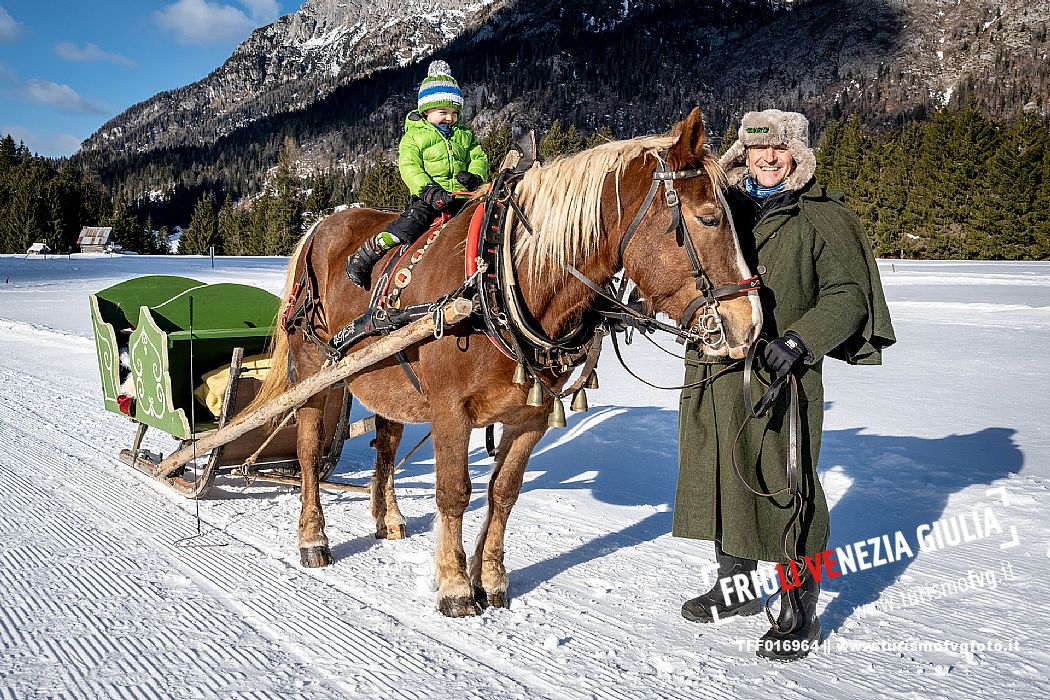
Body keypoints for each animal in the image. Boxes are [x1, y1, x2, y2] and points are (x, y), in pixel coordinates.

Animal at [254, 105, 764, 617]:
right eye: (709, 218)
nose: (750, 326)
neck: (502, 277)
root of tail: (319, 229)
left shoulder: (530, 417)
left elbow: (503, 493)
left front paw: (492, 578)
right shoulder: (450, 410)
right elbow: (454, 492)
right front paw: (455, 585)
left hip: (382, 373)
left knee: (387, 441)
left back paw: (389, 517)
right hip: (315, 369)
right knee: (308, 447)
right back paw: (313, 538)